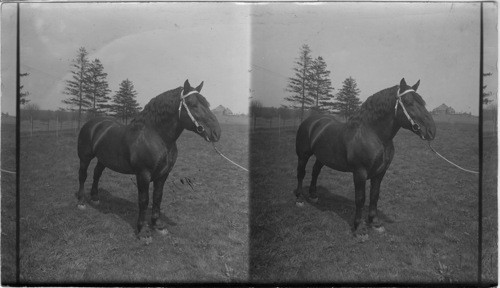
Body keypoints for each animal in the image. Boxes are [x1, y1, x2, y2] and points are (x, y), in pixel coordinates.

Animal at [76, 80, 221, 240]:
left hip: (103, 159)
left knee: (97, 174)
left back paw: (95, 198)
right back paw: (81, 202)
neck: (157, 137)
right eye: (192, 104)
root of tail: (93, 123)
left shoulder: (163, 175)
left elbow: (157, 197)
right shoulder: (143, 174)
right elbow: (144, 200)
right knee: (83, 176)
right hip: (84, 157)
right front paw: (143, 230)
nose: (216, 132)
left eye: (207, 103)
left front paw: (157, 225)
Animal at [294, 79, 436, 236]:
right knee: (301, 173)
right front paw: (359, 228)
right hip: (303, 155)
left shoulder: (380, 173)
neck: (373, 134)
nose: (432, 131)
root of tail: (311, 121)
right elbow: (360, 198)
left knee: (315, 172)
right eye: (408, 102)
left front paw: (375, 222)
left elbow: (374, 195)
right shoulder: (359, 173)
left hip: (322, 157)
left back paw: (313, 195)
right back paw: (299, 198)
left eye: (422, 102)